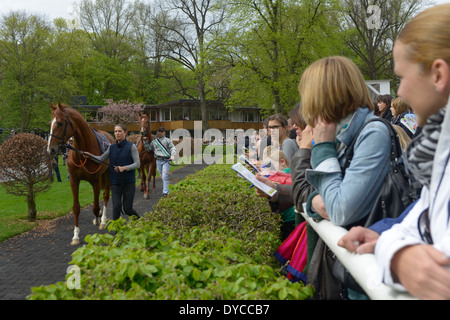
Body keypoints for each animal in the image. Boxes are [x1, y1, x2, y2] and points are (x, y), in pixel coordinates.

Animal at [46, 102, 114, 245]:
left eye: (60, 123)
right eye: (50, 123)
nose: (51, 149)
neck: (82, 152)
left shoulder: (96, 180)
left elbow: (95, 206)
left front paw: (98, 219)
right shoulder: (74, 179)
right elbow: (76, 208)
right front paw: (76, 235)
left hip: (107, 175)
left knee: (105, 196)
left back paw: (102, 219)